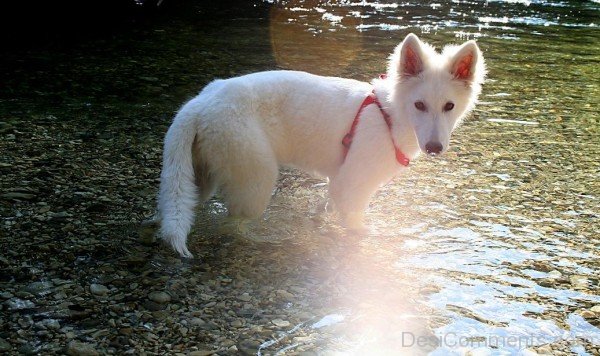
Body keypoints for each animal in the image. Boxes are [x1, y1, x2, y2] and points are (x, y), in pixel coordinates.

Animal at [157, 34, 486, 256]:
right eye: (419, 105)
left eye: (449, 106)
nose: (434, 148)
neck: (389, 115)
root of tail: (199, 103)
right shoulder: (353, 184)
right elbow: (355, 225)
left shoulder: (338, 179)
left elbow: (324, 208)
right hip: (256, 178)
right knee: (232, 222)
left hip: (199, 177)